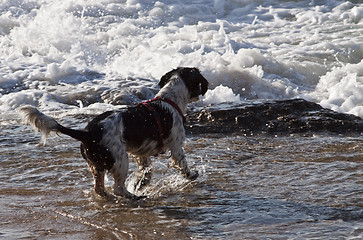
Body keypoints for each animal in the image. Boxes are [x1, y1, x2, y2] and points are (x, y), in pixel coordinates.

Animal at [18, 67, 209, 199]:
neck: (169, 99)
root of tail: (87, 133)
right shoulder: (176, 145)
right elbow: (182, 165)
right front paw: (191, 175)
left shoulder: (141, 153)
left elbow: (146, 171)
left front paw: (141, 184)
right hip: (120, 159)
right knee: (118, 188)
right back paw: (134, 197)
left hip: (97, 165)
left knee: (99, 188)